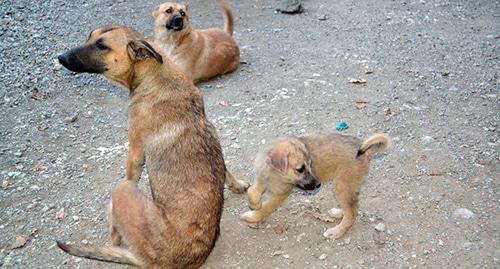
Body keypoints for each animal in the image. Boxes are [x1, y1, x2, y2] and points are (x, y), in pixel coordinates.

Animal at [56, 25, 246, 268]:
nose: (61, 57)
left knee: (115, 228)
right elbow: (224, 165)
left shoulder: (135, 151)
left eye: (102, 45)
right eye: (90, 36)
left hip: (122, 190)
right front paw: (236, 184)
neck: (155, 74)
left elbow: (131, 173)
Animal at [242, 132, 390, 239]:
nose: (319, 184)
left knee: (352, 212)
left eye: (310, 164)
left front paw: (255, 215)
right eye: (300, 169)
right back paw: (338, 213)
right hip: (347, 187)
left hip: (342, 185)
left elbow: (268, 206)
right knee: (353, 206)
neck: (275, 175)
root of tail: (364, 149)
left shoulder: (283, 192)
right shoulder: (262, 178)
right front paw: (255, 204)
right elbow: (252, 190)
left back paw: (336, 232)